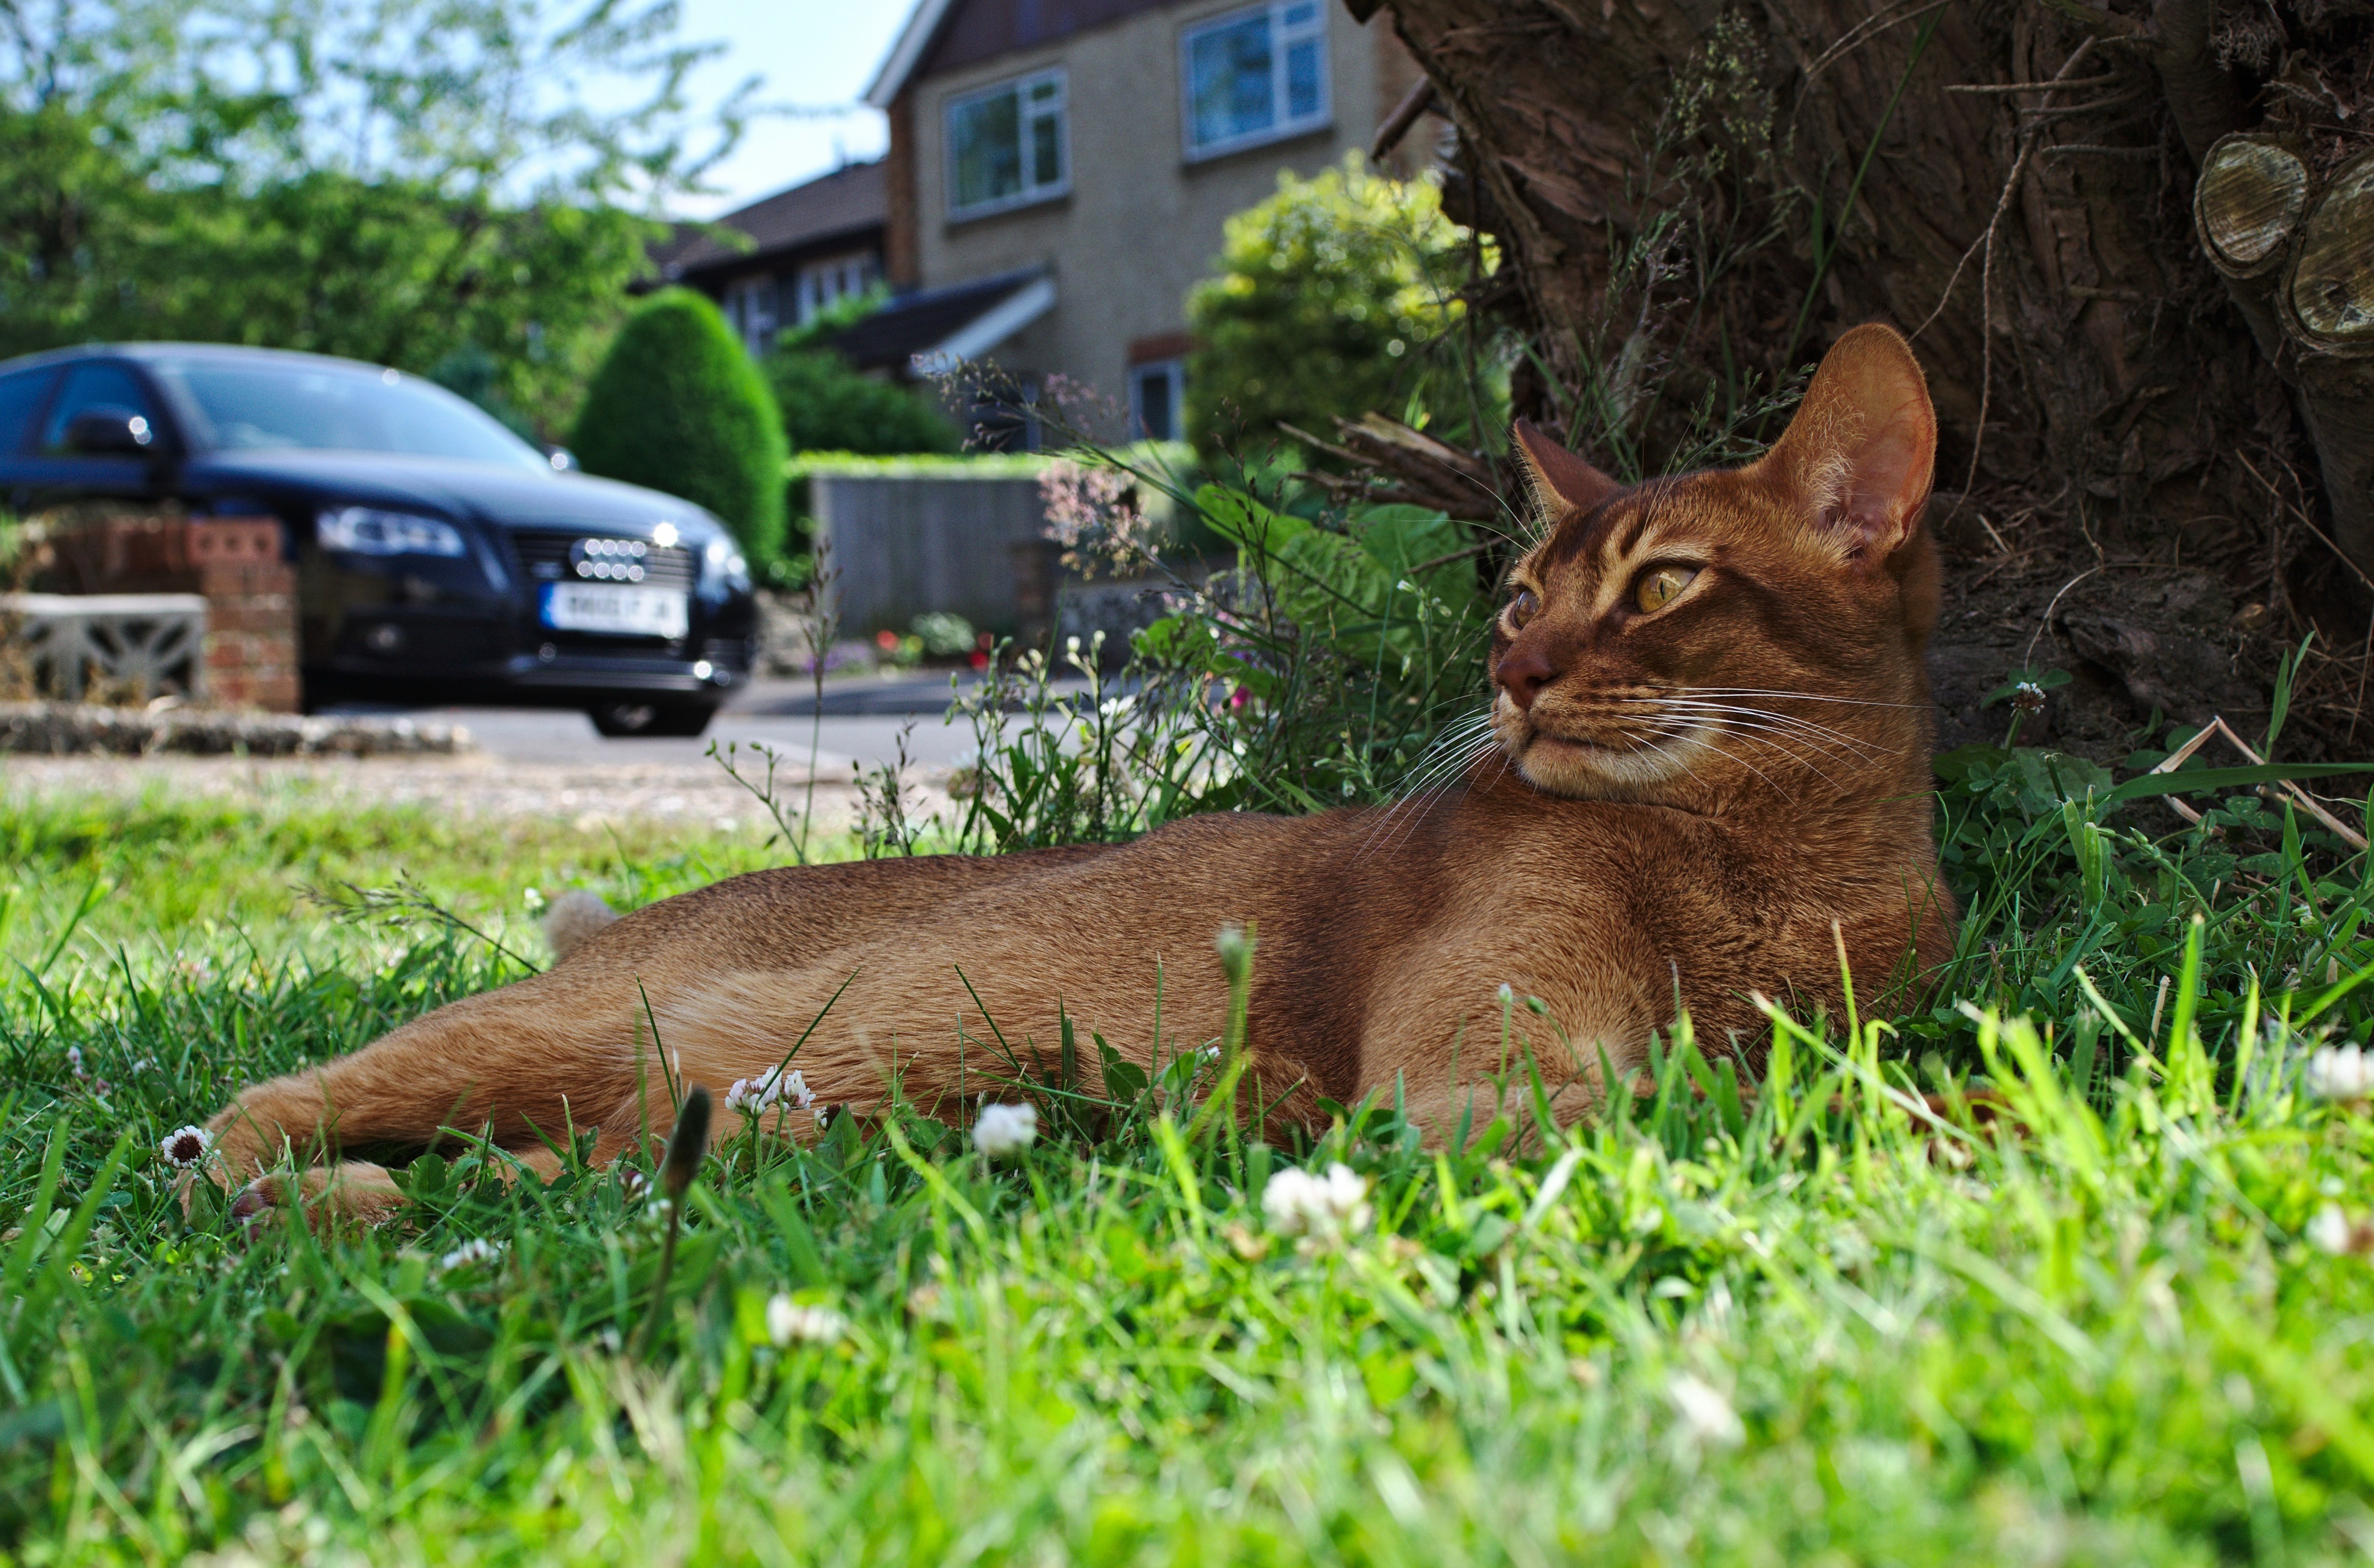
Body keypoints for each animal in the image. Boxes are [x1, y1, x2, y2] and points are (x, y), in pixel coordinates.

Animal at [194, 320, 1956, 1224]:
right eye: (1522, 598)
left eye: (1661, 586)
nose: (1508, 678)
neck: (1778, 856)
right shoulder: (1474, 1080)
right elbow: (1747, 1099)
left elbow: (1834, 1068)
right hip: (554, 1024)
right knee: (289, 1096)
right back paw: (245, 1177)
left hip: (658, 1109)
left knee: (566, 1172)